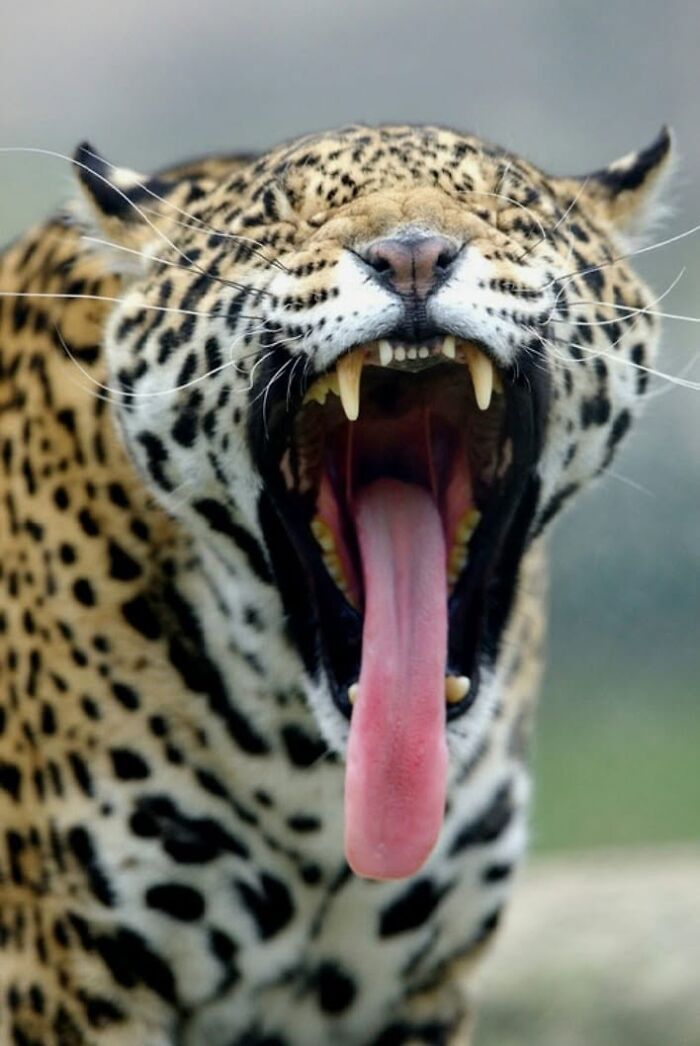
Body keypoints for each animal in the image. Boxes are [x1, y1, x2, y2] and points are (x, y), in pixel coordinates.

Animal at [0, 123, 673, 1045]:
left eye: (506, 208)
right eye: (286, 222)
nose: (413, 257)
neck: (313, 789)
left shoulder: (415, 993)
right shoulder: (74, 984)